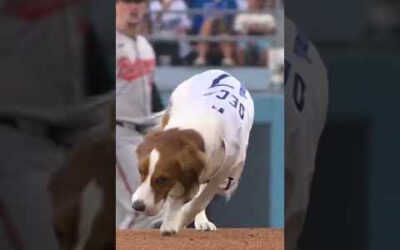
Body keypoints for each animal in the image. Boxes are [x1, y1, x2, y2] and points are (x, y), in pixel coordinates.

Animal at [130, 69, 253, 235]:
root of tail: (221, 71)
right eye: (140, 171)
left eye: (163, 179)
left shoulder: (224, 170)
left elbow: (199, 200)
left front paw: (176, 222)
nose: (138, 205)